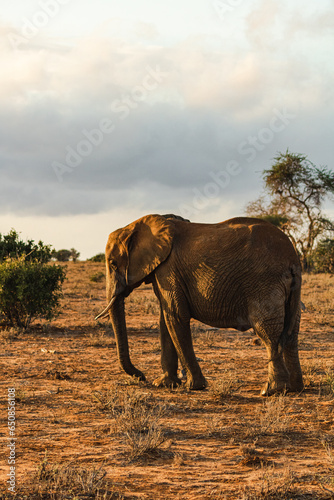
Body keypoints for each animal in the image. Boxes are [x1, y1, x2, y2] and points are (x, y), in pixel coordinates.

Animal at [95, 213, 304, 396]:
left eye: (112, 263)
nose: (141, 376)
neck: (135, 225)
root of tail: (293, 259)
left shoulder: (168, 269)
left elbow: (175, 317)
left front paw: (194, 386)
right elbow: (165, 319)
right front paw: (164, 384)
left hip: (264, 283)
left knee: (268, 332)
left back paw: (270, 391)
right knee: (291, 333)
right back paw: (295, 388)